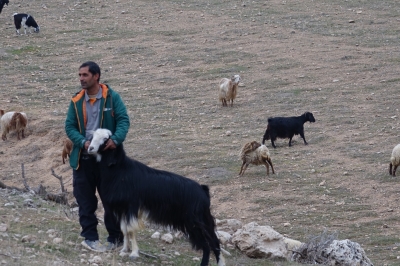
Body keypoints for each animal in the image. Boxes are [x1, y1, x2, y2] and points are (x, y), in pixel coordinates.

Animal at [88, 128, 225, 264]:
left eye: (105, 139)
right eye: (93, 136)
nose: (90, 148)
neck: (121, 170)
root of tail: (203, 190)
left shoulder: (131, 207)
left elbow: (131, 230)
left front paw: (133, 254)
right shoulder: (122, 209)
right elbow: (124, 229)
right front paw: (124, 250)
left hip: (195, 223)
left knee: (208, 244)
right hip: (202, 221)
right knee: (213, 242)